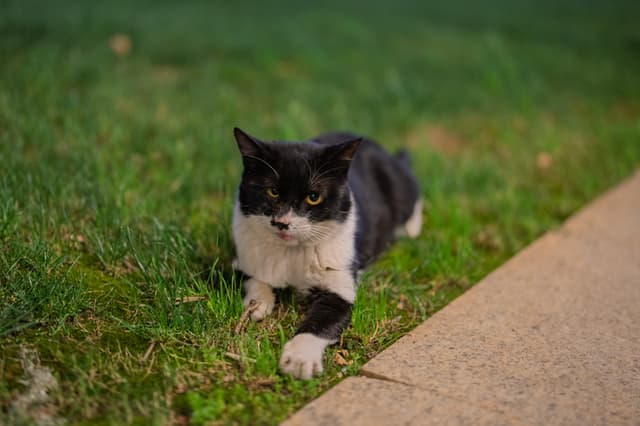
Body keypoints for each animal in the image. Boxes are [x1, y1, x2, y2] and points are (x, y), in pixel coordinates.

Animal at [232, 127, 422, 380]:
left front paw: (299, 360)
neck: (292, 253)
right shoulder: (244, 255)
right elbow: (254, 278)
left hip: (399, 185)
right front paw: (257, 304)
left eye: (314, 197)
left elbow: (321, 322)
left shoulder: (339, 283)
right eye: (272, 191)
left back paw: (411, 229)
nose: (282, 223)